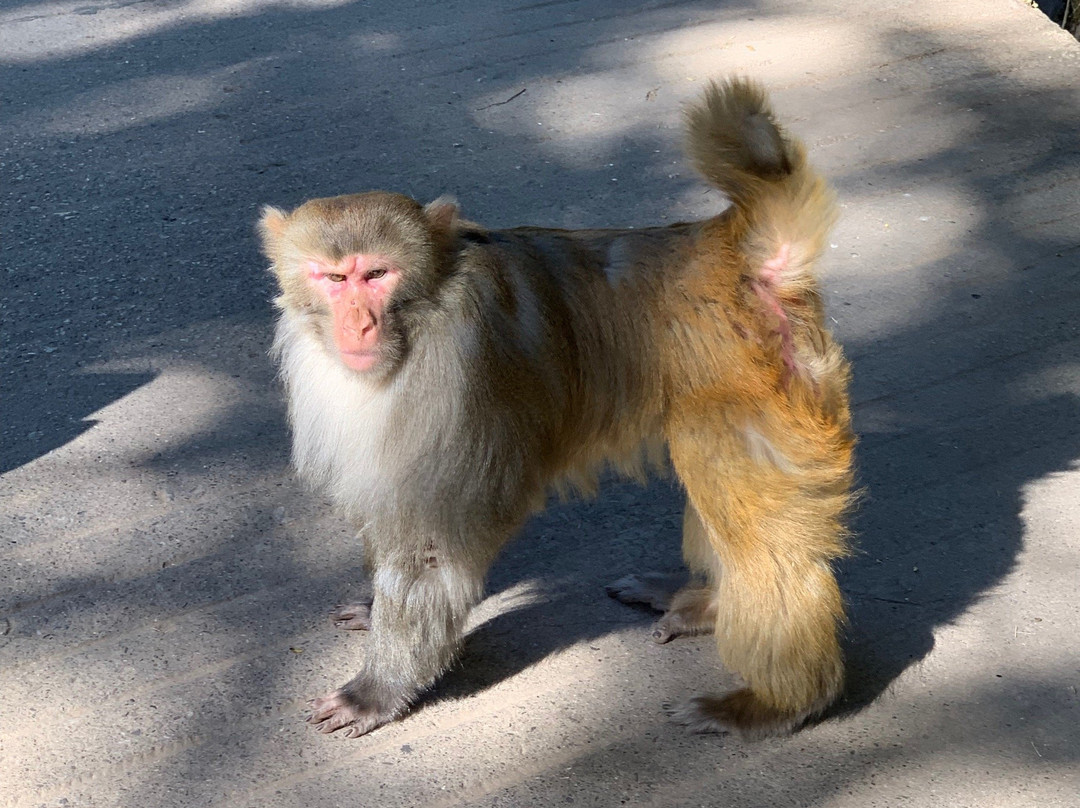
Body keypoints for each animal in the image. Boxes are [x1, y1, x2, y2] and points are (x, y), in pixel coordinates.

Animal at [259, 78, 851, 743]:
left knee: (753, 528)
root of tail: (732, 248)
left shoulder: (448, 395)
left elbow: (434, 546)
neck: (425, 313)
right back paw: (711, 604)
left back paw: (781, 700)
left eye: (377, 274)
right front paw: (372, 603)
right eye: (333, 279)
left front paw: (377, 690)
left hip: (750, 397)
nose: (358, 324)